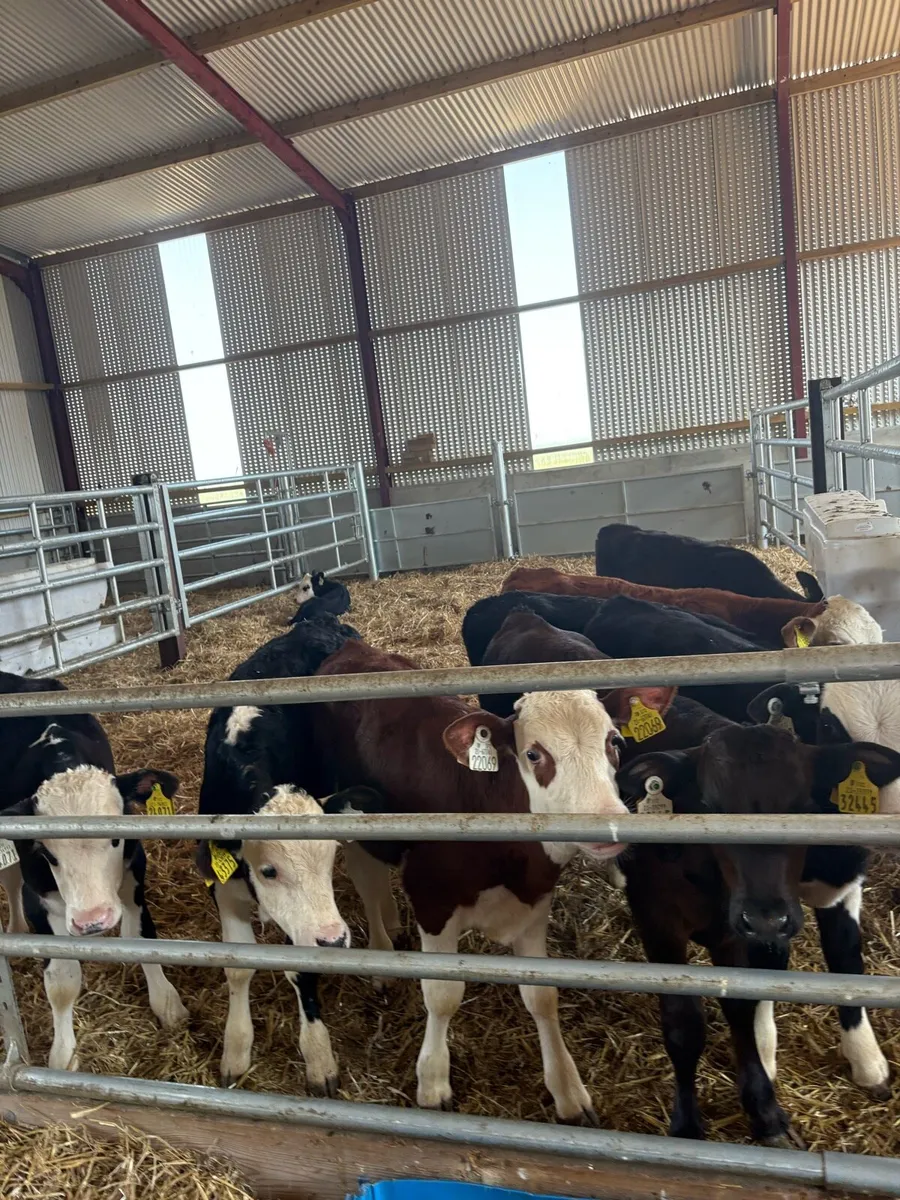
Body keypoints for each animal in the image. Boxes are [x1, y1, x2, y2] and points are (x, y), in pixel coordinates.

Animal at [0, 671, 187, 1071]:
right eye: (47, 853)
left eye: (116, 838)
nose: (93, 921)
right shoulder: (39, 895)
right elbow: (63, 978)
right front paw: (63, 1054)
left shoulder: (134, 875)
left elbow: (143, 939)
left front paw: (167, 1003)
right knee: (9, 878)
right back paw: (17, 929)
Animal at [198, 613, 381, 1092]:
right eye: (269, 871)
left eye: (328, 861)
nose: (335, 941)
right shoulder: (222, 885)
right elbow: (237, 967)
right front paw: (236, 1048)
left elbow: (300, 967)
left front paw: (318, 1057)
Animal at [311, 635, 676, 1124]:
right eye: (533, 753)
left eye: (614, 741)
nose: (606, 821)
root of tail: (351, 649)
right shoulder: (432, 898)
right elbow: (443, 994)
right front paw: (433, 1082)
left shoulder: (535, 899)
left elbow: (542, 997)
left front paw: (567, 1090)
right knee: (366, 878)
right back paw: (382, 953)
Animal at [617, 724, 900, 1144]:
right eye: (709, 808)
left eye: (804, 808)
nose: (767, 919)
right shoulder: (659, 925)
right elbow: (683, 1026)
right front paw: (686, 1125)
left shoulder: (734, 935)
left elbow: (742, 1008)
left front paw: (765, 1112)